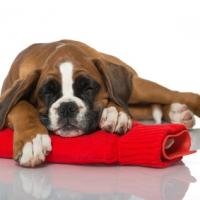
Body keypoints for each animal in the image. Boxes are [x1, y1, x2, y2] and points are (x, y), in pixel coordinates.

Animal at [0, 39, 198, 167]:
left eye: (88, 88)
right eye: (48, 91)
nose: (67, 108)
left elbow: (113, 98)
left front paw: (115, 113)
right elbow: (21, 106)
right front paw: (32, 140)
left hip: (138, 87)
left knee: (176, 94)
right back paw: (177, 113)